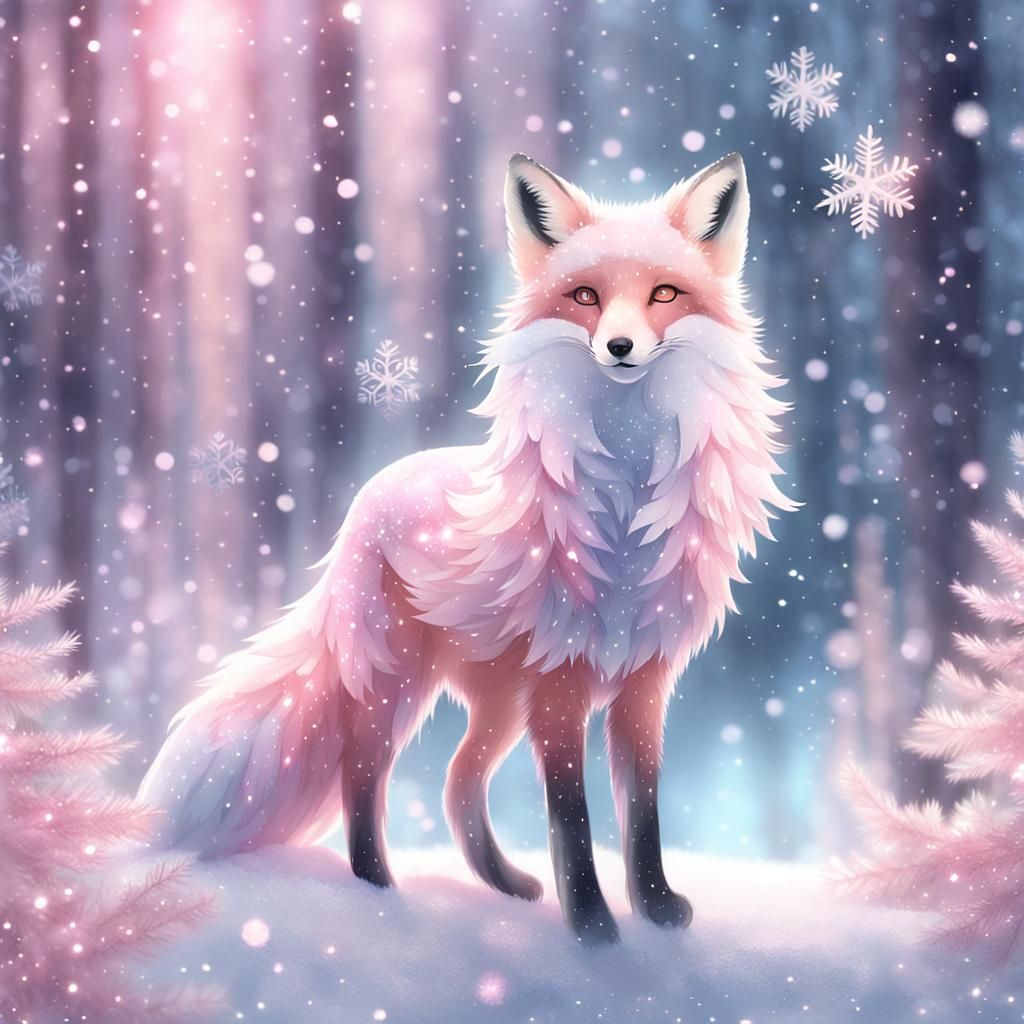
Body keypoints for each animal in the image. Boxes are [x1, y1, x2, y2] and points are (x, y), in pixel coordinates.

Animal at [139, 151, 796, 944]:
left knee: (457, 782)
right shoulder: (561, 683)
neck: (624, 497)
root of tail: (370, 492)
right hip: (397, 681)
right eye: (586, 296)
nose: (619, 347)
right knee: (364, 776)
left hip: (498, 698)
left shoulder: (644, 680)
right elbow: (572, 819)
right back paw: (379, 892)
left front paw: (655, 909)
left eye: (664, 293)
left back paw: (506, 886)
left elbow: (641, 814)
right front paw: (592, 927)